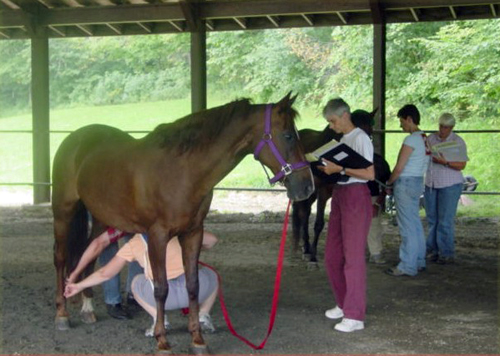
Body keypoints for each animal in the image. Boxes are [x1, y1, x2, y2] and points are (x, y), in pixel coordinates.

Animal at [52, 93, 314, 354]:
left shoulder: (193, 232)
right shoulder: (157, 236)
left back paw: (87, 307)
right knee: (61, 258)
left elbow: (193, 285)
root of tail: (75, 139)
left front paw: (197, 339)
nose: (307, 186)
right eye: (288, 135)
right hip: (63, 213)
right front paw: (162, 340)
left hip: (101, 217)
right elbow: (160, 289)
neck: (182, 171)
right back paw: (62, 314)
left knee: (88, 254)